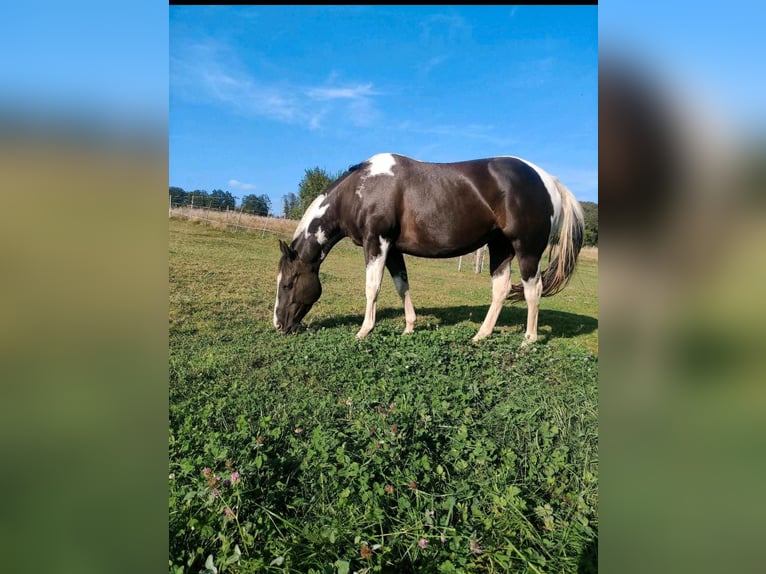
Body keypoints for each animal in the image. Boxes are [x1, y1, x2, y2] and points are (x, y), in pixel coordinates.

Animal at [273, 153, 584, 344]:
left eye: (288, 283)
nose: (278, 325)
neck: (362, 190)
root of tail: (547, 179)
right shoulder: (393, 249)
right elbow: (402, 285)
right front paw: (409, 327)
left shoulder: (377, 242)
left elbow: (372, 287)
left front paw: (364, 330)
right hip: (500, 247)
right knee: (501, 288)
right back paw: (481, 335)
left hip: (527, 249)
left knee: (534, 290)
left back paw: (528, 340)